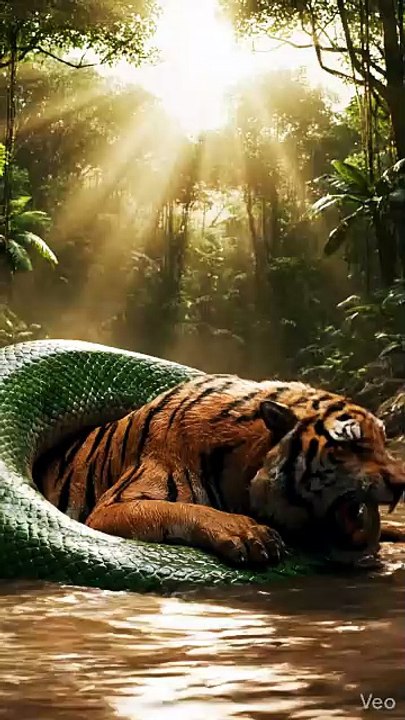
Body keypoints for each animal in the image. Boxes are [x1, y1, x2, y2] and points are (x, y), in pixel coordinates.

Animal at [33, 374, 405, 567]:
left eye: (384, 440)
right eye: (351, 445)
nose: (402, 483)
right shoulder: (113, 507)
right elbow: (179, 508)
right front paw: (247, 533)